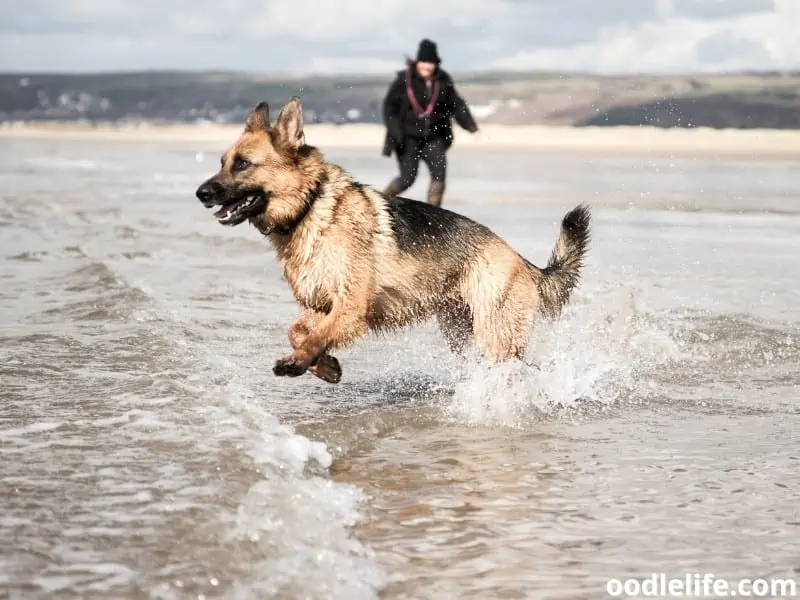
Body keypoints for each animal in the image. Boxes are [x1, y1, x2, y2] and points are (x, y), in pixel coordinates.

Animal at [197, 96, 592, 382]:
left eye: (243, 164)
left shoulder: (350, 307)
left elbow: (316, 336)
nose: (200, 193)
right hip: (462, 334)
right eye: (222, 162)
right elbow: (298, 331)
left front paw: (300, 362)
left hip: (495, 336)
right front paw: (325, 367)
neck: (310, 208)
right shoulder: (322, 305)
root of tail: (522, 260)